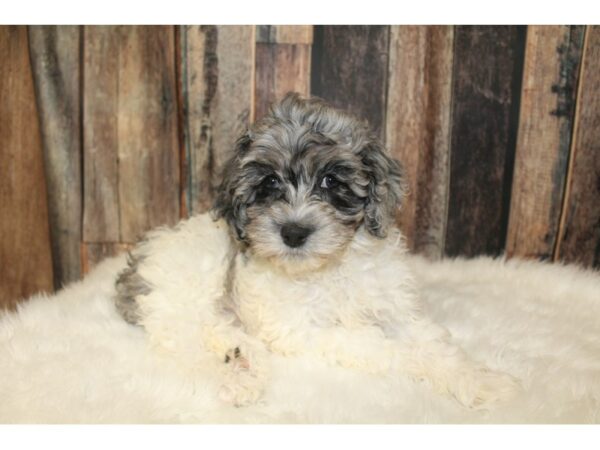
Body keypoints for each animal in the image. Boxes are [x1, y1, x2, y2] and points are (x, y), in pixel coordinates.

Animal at [115, 93, 516, 410]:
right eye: (269, 182)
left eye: (331, 181)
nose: (293, 232)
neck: (329, 268)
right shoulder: (305, 329)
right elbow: (386, 347)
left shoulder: (395, 309)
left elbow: (433, 343)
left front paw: (479, 380)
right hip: (191, 287)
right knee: (188, 347)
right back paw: (238, 377)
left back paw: (241, 359)